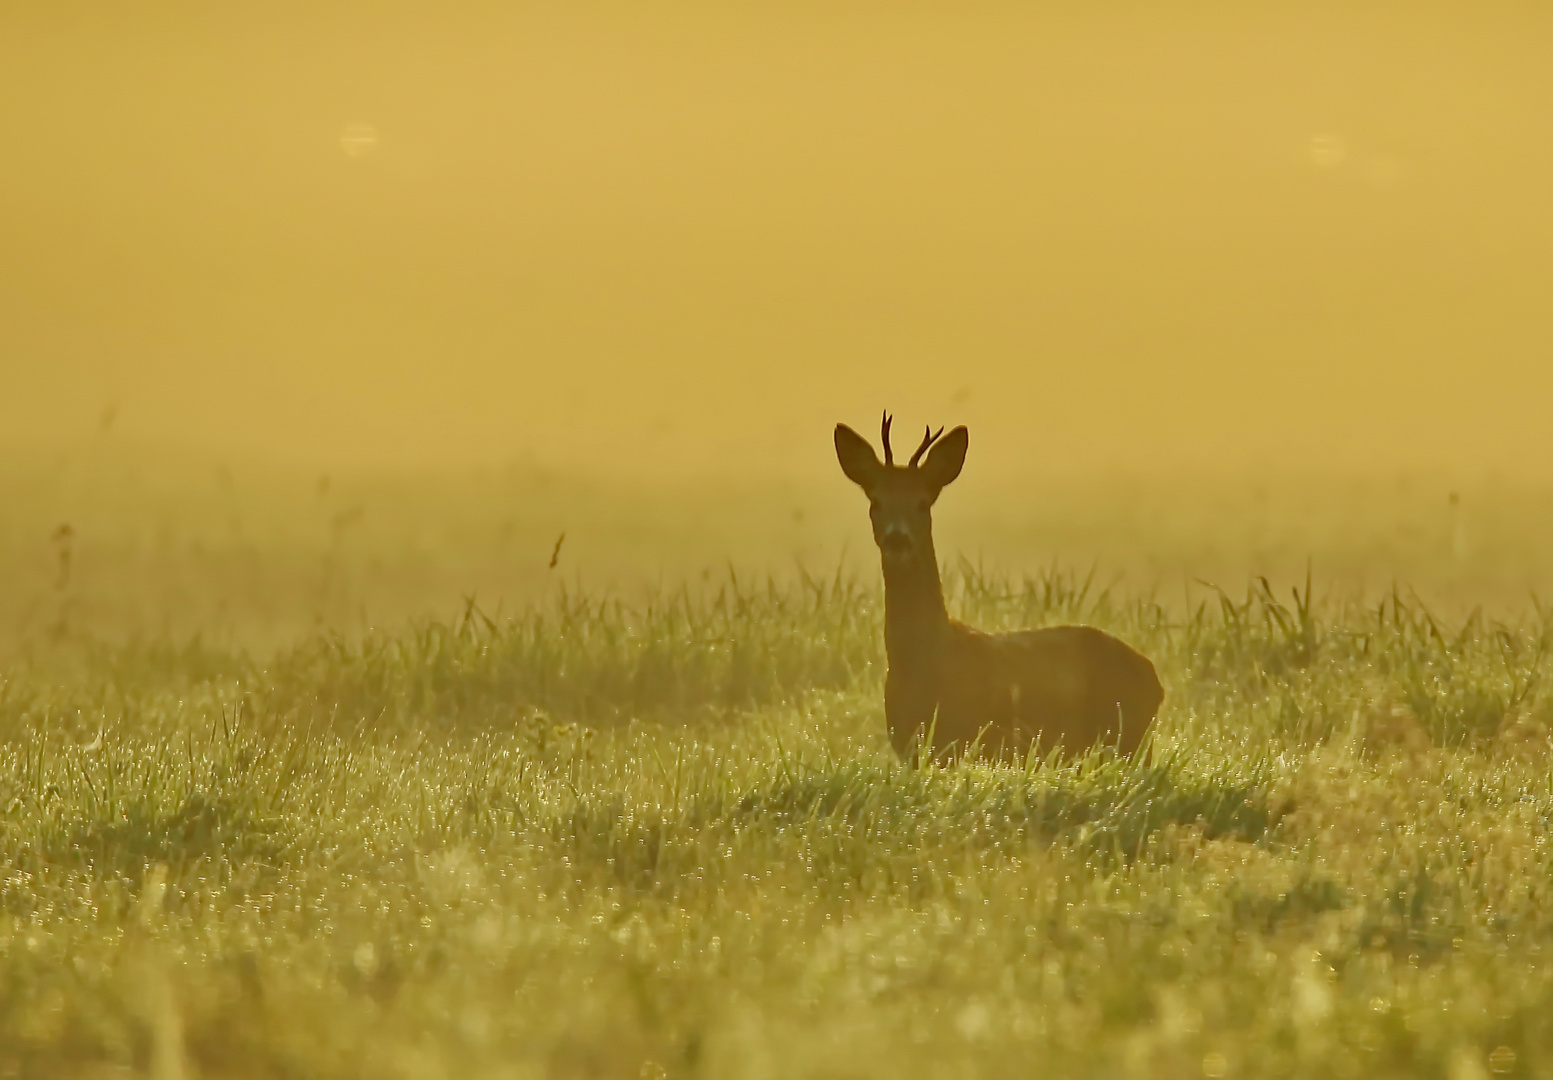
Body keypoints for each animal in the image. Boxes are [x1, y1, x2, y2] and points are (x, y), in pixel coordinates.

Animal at [832, 410, 1161, 764]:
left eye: (922, 503)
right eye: (876, 501)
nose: (897, 537)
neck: (927, 660)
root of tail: (1155, 680)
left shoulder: (969, 741)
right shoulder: (910, 746)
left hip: (1127, 740)